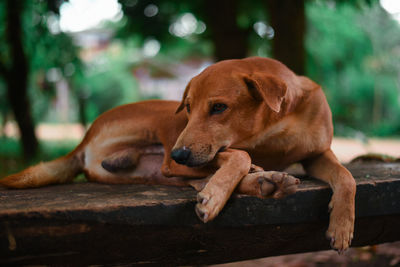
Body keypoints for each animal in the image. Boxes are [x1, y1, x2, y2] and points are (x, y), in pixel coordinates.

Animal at [1, 56, 354, 253]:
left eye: (219, 107)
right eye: (188, 107)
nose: (182, 153)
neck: (278, 125)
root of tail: (85, 136)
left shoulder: (319, 154)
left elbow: (346, 177)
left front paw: (341, 226)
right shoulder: (204, 144)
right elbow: (238, 154)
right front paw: (218, 196)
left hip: (157, 164)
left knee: (185, 177)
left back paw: (266, 183)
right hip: (166, 127)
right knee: (196, 167)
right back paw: (254, 182)